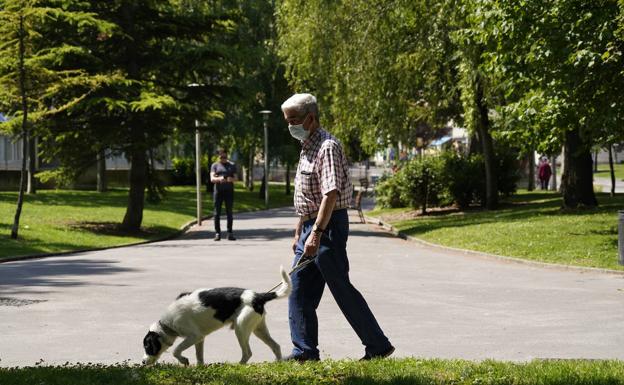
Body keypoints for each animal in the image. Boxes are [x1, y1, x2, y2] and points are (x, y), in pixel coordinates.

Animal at [144, 266, 292, 364]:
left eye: (147, 347)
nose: (143, 362)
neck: (167, 324)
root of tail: (258, 296)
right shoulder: (200, 339)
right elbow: (199, 357)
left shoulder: (194, 336)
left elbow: (176, 350)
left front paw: (183, 360)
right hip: (258, 329)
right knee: (276, 346)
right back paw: (278, 364)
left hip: (241, 328)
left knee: (248, 353)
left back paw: (239, 366)